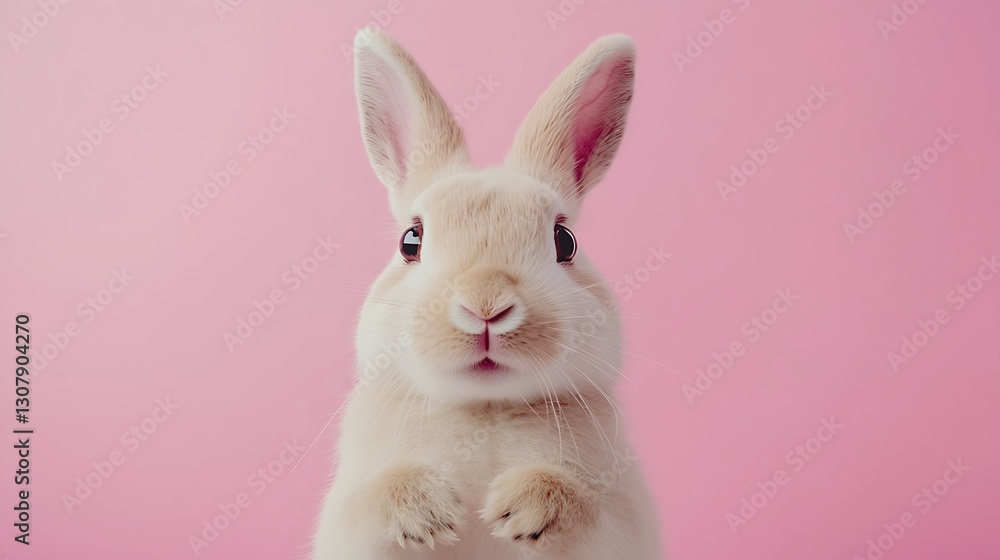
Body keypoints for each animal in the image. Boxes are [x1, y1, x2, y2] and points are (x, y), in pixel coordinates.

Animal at [311, 28, 662, 560]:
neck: (487, 409)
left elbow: (592, 512)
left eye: (565, 242)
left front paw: (525, 507)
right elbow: (371, 505)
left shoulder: (623, 522)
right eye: (410, 241)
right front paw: (428, 509)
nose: (486, 306)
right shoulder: (349, 525)